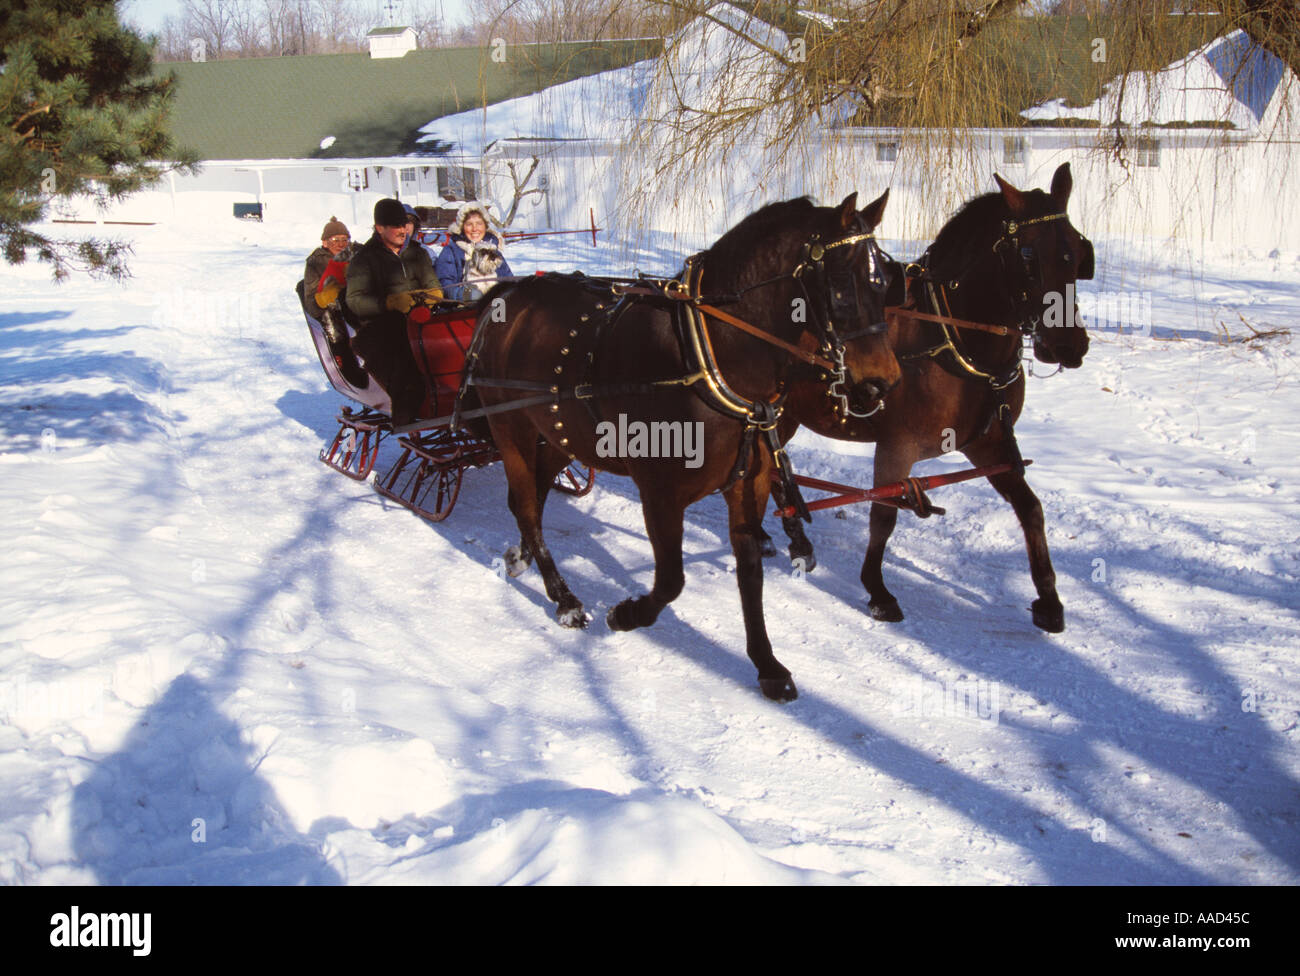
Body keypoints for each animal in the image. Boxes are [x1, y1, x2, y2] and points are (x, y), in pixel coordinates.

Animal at [467, 191, 904, 696]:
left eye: (886, 283)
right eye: (839, 284)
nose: (882, 384)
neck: (708, 355)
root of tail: (509, 295)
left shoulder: (749, 484)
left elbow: (750, 571)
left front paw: (766, 664)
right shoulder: (660, 493)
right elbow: (671, 581)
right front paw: (627, 614)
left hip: (558, 433)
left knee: (532, 499)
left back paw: (522, 558)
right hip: (512, 430)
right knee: (525, 504)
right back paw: (564, 598)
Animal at [769, 162, 1097, 634]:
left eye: (1077, 248)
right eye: (1028, 255)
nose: (1069, 345)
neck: (950, 338)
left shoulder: (988, 444)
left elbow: (1031, 508)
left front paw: (1049, 599)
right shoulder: (897, 445)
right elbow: (884, 513)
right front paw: (878, 591)